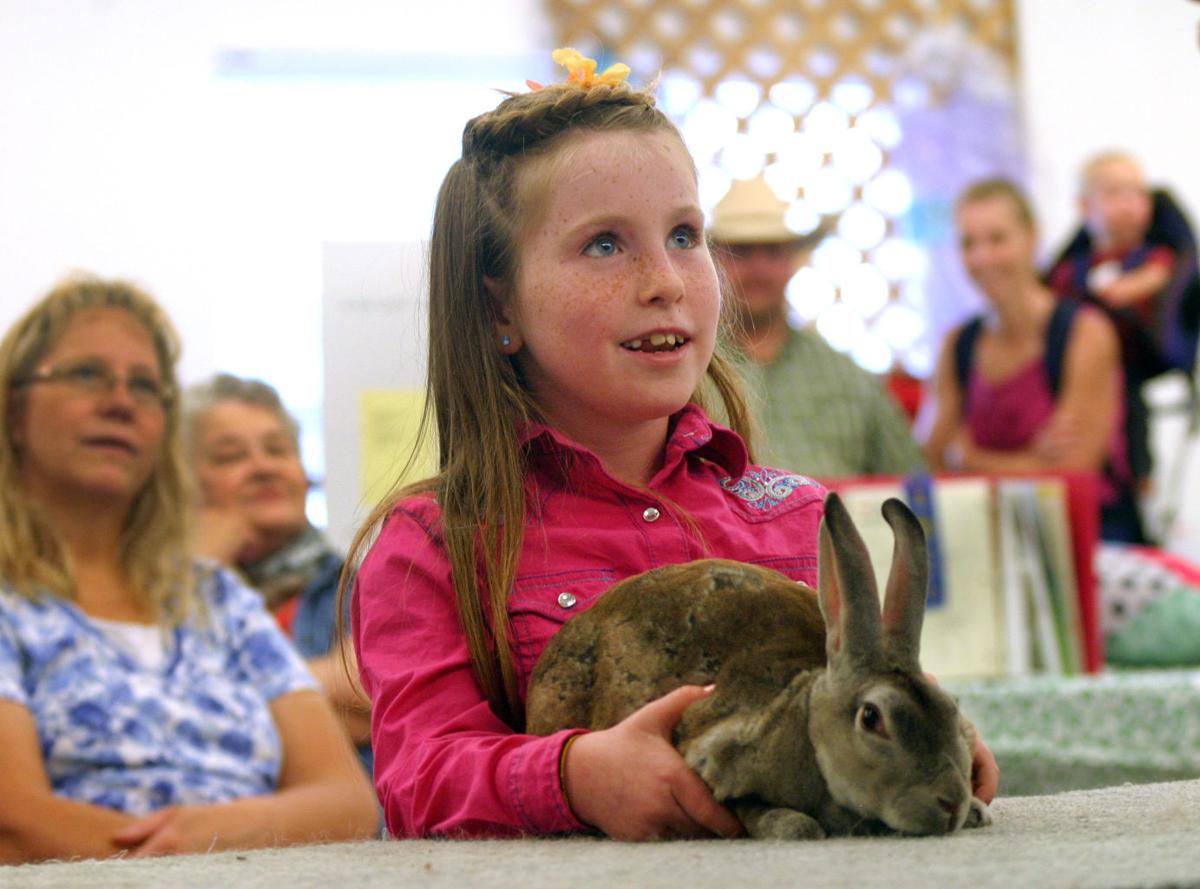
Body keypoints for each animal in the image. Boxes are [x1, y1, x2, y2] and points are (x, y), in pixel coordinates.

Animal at [525, 492, 992, 839]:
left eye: (951, 708)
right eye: (872, 718)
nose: (950, 804)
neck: (807, 730)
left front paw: (978, 811)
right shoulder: (710, 761)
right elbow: (778, 818)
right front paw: (797, 825)